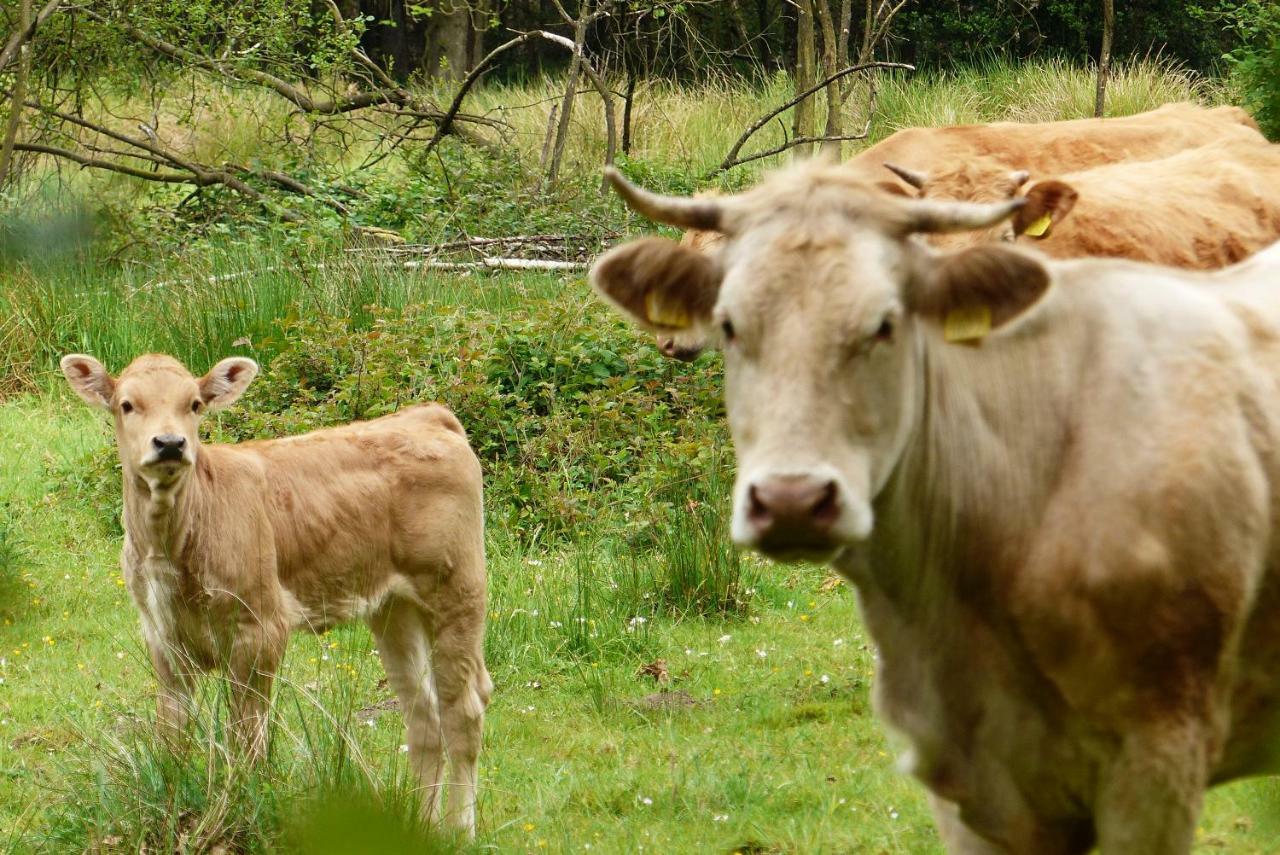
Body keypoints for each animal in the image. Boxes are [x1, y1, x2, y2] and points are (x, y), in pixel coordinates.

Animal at [60, 353, 491, 834]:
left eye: (194, 404)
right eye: (127, 404)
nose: (170, 443)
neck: (175, 540)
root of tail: (427, 416)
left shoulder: (261, 629)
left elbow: (246, 738)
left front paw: (242, 810)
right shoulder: (163, 637)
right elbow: (172, 736)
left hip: (458, 590)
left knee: (463, 711)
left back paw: (460, 830)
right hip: (394, 607)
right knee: (423, 715)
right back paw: (420, 828)